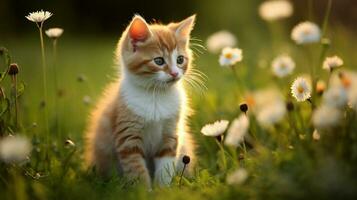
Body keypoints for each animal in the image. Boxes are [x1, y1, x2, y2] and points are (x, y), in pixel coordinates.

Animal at [84, 15, 197, 188]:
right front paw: (143, 190)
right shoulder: (128, 137)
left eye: (180, 59)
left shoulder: (170, 134)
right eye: (159, 61)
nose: (174, 73)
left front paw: (164, 189)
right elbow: (136, 168)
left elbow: (165, 165)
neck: (156, 95)